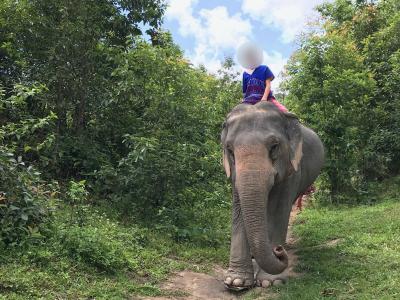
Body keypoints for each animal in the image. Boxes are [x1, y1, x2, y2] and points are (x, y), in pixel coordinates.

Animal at [222, 102, 324, 290]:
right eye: (230, 150)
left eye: (274, 146)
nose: (278, 251)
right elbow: (239, 212)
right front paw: (235, 282)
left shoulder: (291, 168)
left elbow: (278, 211)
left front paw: (271, 282)